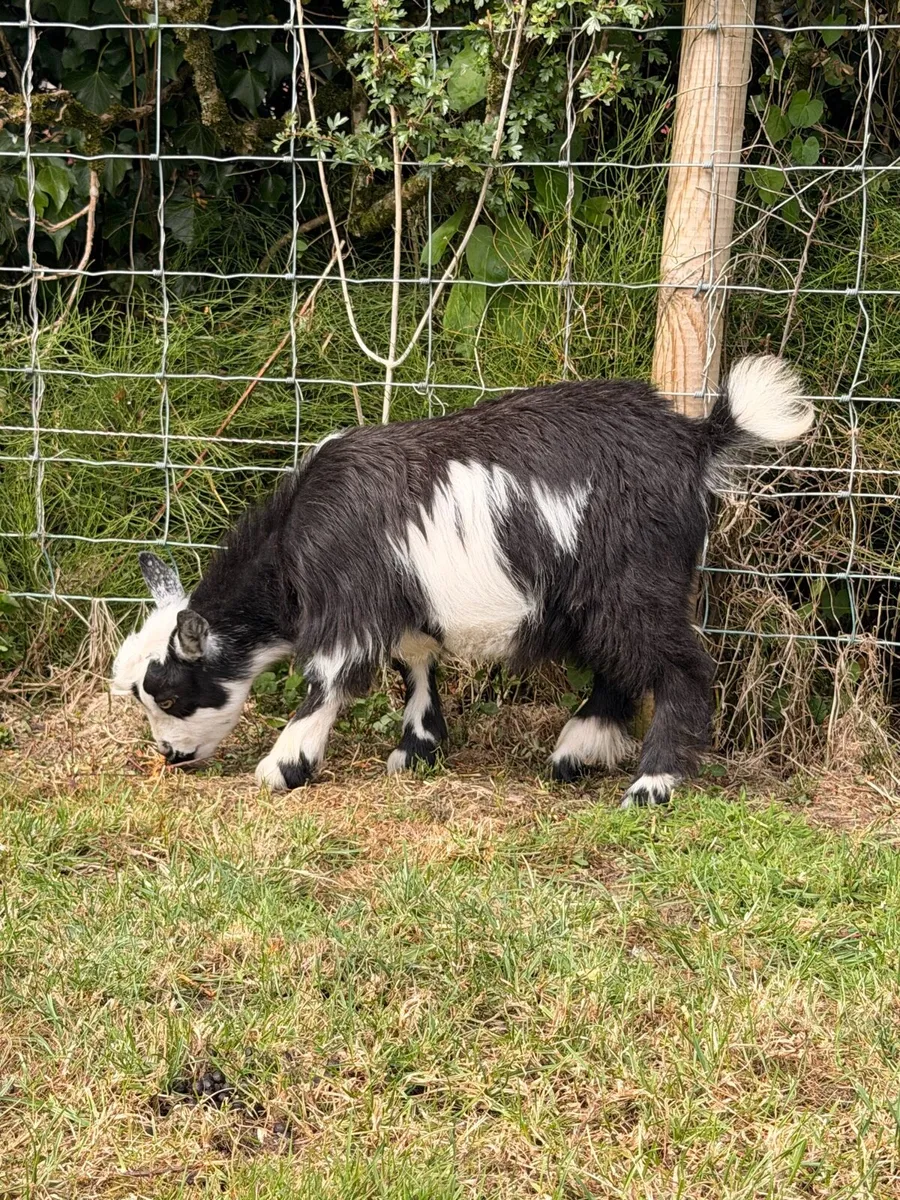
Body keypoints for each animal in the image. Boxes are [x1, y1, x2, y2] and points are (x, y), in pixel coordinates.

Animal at [111, 355, 813, 807]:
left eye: (169, 695)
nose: (172, 757)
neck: (294, 534)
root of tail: (695, 440)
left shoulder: (349, 597)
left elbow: (331, 676)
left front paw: (285, 766)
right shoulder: (400, 598)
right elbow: (414, 660)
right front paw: (419, 748)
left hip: (633, 580)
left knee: (682, 665)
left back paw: (653, 783)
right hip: (598, 594)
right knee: (619, 663)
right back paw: (579, 750)